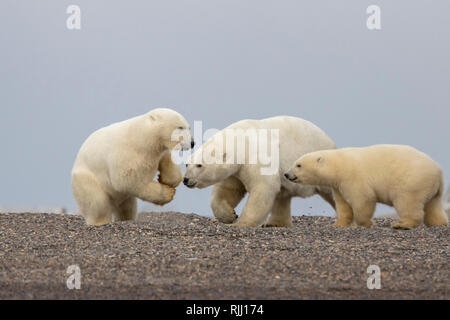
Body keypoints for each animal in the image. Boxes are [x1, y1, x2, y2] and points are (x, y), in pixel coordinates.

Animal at [184, 116, 338, 226]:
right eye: (187, 164)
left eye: (199, 165)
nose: (186, 180)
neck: (242, 142)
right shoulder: (236, 170)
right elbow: (228, 189)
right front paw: (229, 215)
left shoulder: (258, 156)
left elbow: (262, 188)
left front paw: (241, 223)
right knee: (282, 196)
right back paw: (275, 223)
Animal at [286, 145, 448, 230]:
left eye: (298, 165)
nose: (287, 174)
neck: (339, 165)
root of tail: (438, 171)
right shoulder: (338, 185)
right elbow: (343, 205)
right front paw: (337, 224)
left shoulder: (353, 177)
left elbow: (363, 200)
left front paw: (363, 224)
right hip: (432, 188)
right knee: (433, 206)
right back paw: (438, 223)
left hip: (411, 181)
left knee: (407, 202)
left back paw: (402, 224)